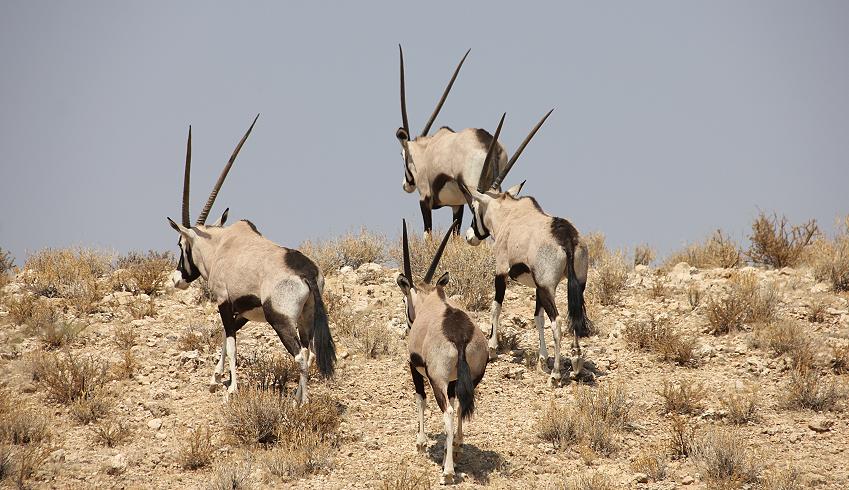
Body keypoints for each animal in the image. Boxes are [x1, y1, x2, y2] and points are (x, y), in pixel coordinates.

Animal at [166, 116, 334, 402]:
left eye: (180, 244)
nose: (177, 279)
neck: (219, 246)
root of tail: (306, 273)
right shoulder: (243, 311)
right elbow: (226, 336)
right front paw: (215, 378)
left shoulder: (224, 301)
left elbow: (231, 342)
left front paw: (231, 389)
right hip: (306, 318)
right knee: (309, 353)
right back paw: (299, 397)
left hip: (280, 320)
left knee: (300, 356)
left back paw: (299, 403)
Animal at [394, 46, 506, 235]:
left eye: (403, 155)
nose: (405, 185)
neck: (425, 150)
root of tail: (487, 142)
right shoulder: (456, 205)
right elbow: (455, 236)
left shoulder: (425, 198)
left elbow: (428, 234)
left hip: (472, 191)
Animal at [396, 220, 486, 484]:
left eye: (404, 300)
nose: (408, 322)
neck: (432, 302)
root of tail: (460, 334)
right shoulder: (456, 381)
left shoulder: (415, 368)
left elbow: (420, 399)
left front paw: (421, 442)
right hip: (472, 378)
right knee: (460, 407)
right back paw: (456, 448)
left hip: (438, 380)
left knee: (447, 412)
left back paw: (447, 472)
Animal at [458, 114, 588, 386]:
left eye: (474, 207)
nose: (469, 236)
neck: (509, 214)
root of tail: (567, 238)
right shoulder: (537, 286)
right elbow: (537, 318)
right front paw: (541, 359)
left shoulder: (501, 270)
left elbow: (496, 305)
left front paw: (493, 348)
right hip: (576, 283)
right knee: (573, 317)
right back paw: (576, 363)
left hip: (549, 287)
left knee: (558, 322)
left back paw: (557, 374)